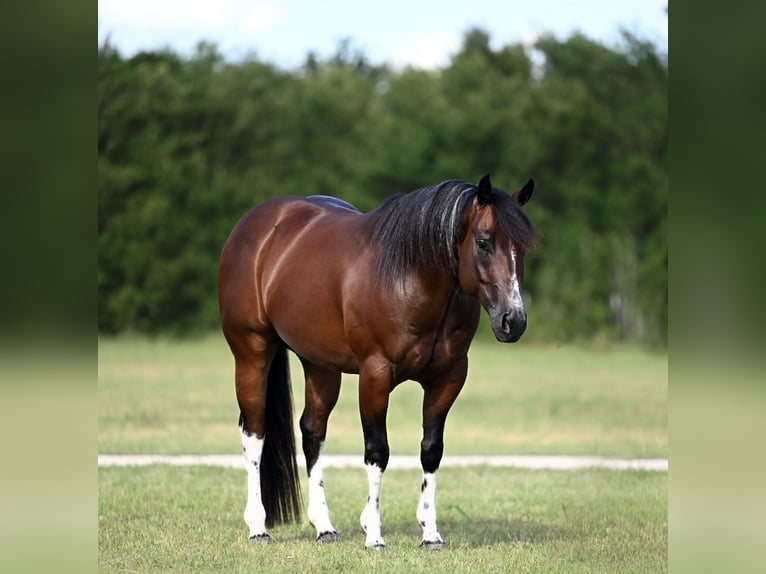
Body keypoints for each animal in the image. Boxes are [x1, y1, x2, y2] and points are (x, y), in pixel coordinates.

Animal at [218, 174, 536, 549]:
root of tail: (258, 225)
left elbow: (431, 450)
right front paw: (374, 534)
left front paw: (430, 533)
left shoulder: (449, 377)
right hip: (252, 353)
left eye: (523, 247)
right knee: (254, 434)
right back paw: (258, 527)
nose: (513, 320)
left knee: (312, 432)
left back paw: (324, 526)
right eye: (484, 242)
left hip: (321, 365)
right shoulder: (375, 375)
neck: (410, 276)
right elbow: (377, 451)